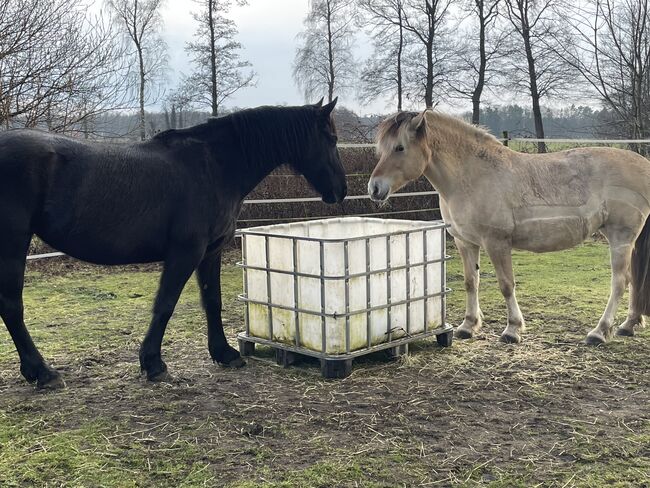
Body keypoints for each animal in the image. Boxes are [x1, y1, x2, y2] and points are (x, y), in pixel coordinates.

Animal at [0, 99, 346, 388]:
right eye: (331, 139)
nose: (341, 190)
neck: (215, 165)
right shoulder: (185, 252)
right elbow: (165, 304)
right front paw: (153, 364)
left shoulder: (211, 252)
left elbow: (212, 301)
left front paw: (224, 353)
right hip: (13, 244)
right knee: (12, 307)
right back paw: (42, 373)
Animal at [368, 109, 648, 346]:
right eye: (382, 149)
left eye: (400, 147)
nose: (374, 188)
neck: (473, 176)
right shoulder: (465, 242)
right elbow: (471, 282)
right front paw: (468, 326)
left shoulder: (497, 243)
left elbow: (506, 285)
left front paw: (512, 329)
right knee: (633, 280)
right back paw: (628, 325)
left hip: (620, 236)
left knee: (620, 281)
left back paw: (599, 332)